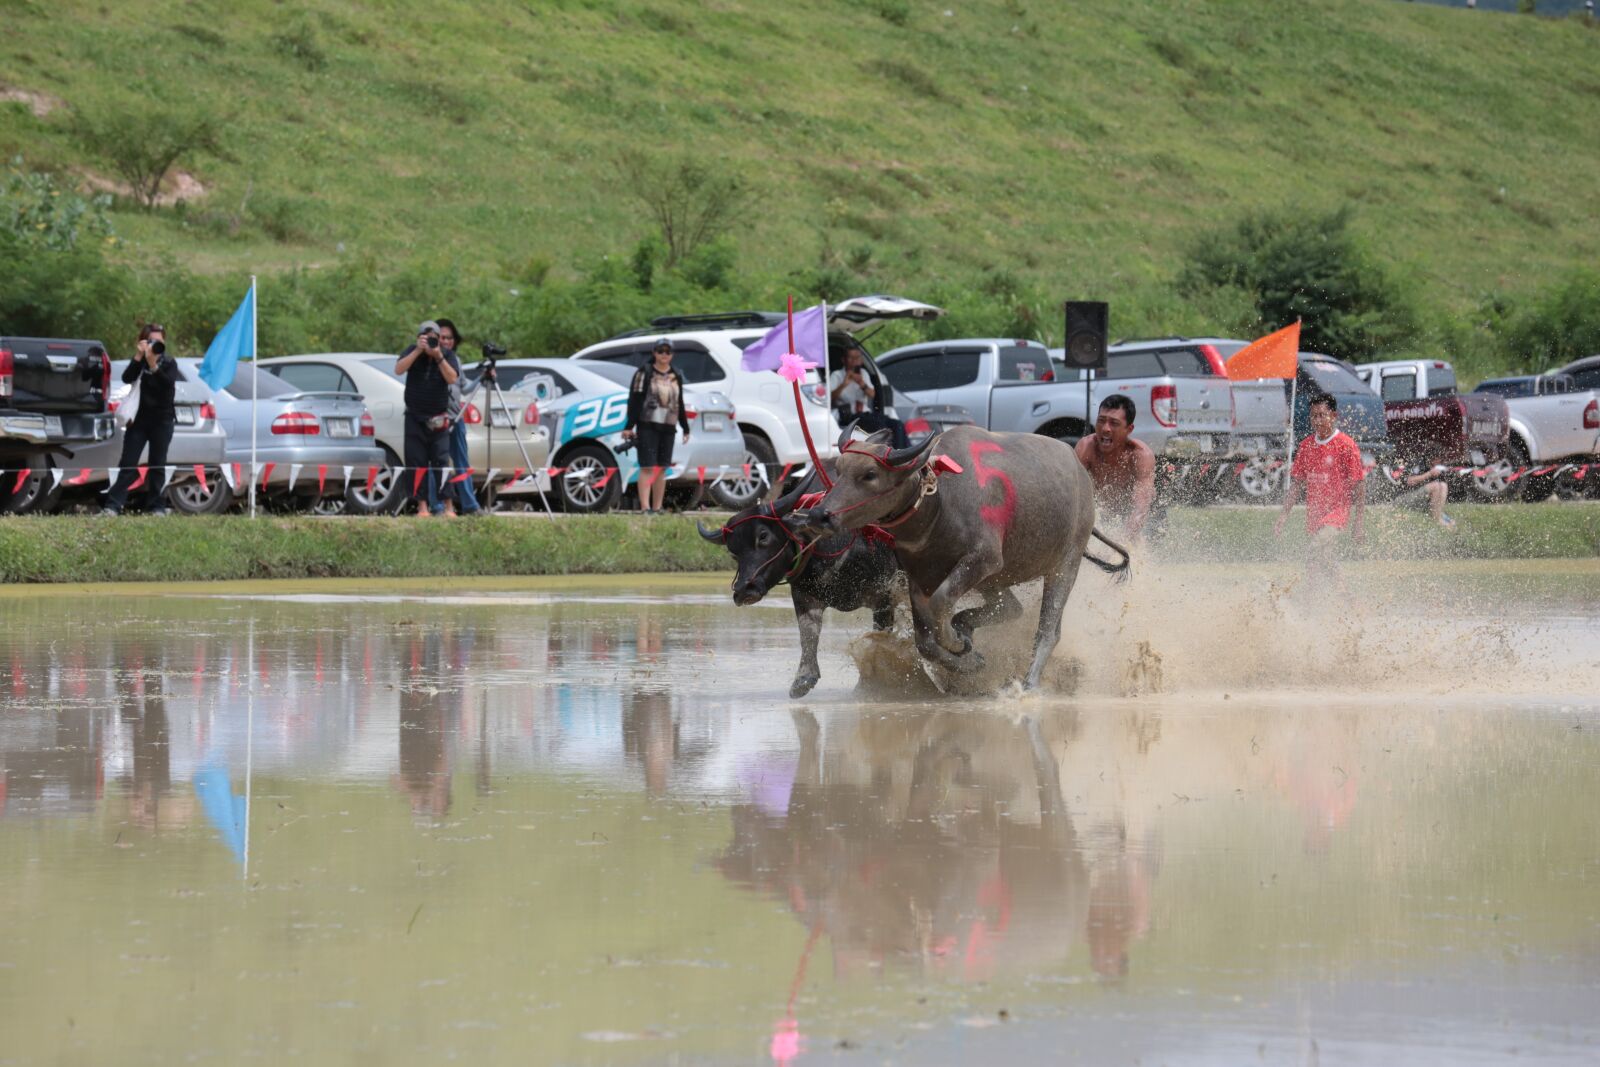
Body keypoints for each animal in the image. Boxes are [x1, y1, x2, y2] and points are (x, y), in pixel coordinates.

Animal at [698, 468, 899, 698]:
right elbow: (808, 635)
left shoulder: (884, 597)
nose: (743, 590)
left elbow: (879, 640)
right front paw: (803, 678)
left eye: (763, 536)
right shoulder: (804, 597)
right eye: (733, 552)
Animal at [792, 425, 1125, 691]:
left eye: (869, 474)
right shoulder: (919, 578)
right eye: (839, 470)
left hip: (1064, 565)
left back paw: (1029, 684)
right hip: (995, 579)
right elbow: (925, 642)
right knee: (1012, 608)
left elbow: (942, 605)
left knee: (1048, 630)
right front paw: (969, 659)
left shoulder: (981, 560)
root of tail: (1082, 476)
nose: (819, 515)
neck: (939, 503)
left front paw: (956, 642)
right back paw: (968, 629)